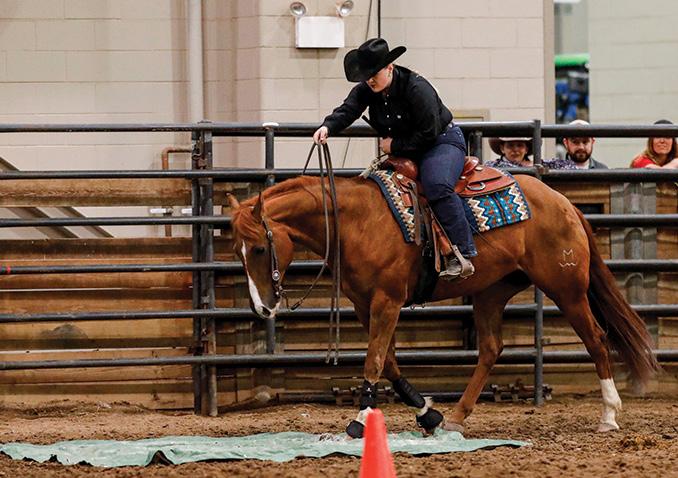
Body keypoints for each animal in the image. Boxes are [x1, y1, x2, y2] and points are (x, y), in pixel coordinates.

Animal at [227, 172, 658, 438]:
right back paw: (456, 416)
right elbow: (388, 361)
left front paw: (359, 420)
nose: (262, 309)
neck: (357, 221)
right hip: (491, 292)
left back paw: (608, 415)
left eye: (261, 248)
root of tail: (564, 203)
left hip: (566, 288)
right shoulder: (365, 304)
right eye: (237, 251)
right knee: (490, 349)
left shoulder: (387, 300)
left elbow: (374, 361)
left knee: (597, 339)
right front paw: (427, 413)